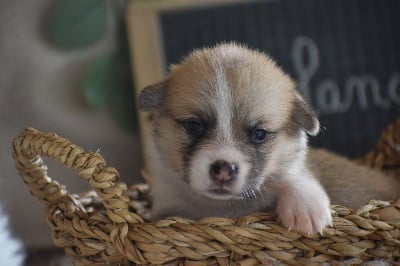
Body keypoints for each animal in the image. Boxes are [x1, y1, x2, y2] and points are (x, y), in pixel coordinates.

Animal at [138, 42, 400, 234]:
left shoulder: (293, 170)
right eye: (195, 126)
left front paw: (305, 209)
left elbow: (293, 177)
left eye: (259, 134)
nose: (223, 170)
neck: (223, 206)